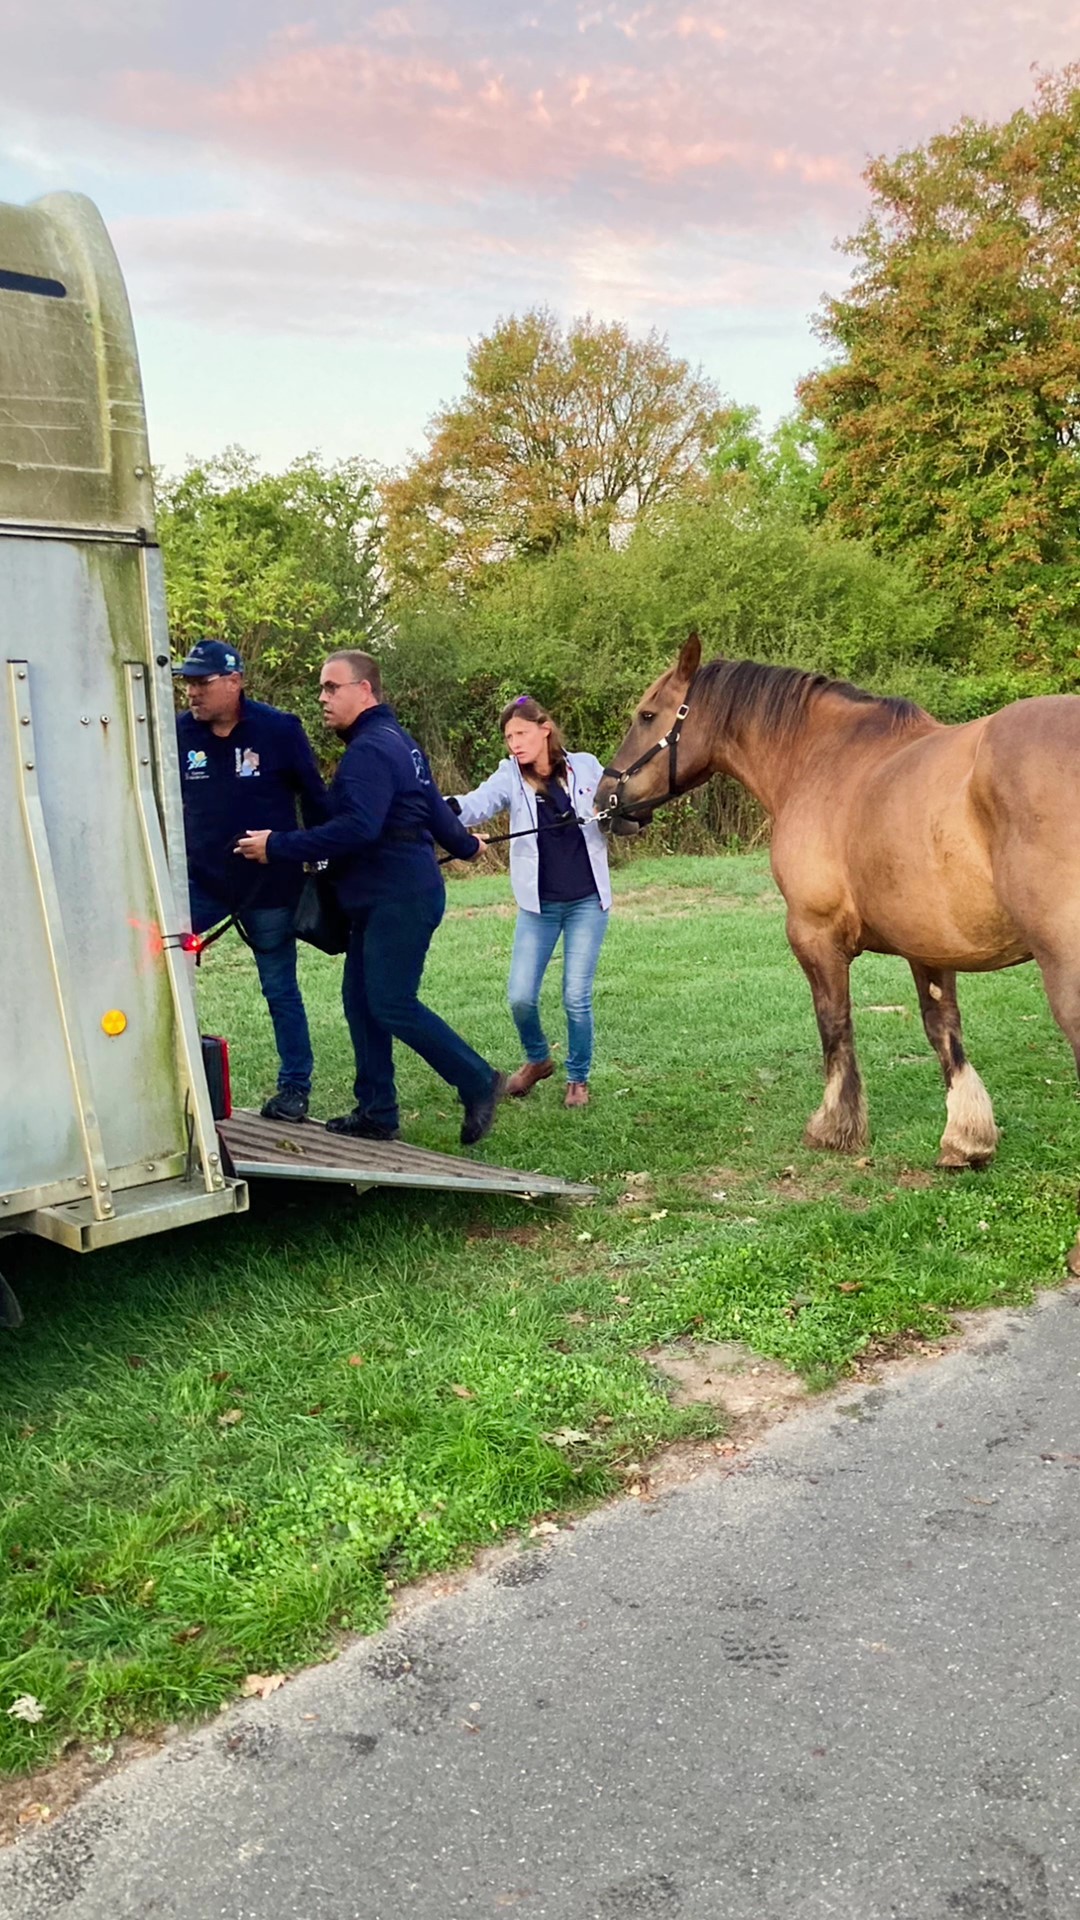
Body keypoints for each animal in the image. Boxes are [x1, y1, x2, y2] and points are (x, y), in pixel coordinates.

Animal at [595, 637, 1080, 1244]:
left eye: (647, 715)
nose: (604, 799)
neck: (823, 760)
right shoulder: (930, 946)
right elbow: (943, 1032)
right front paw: (965, 1141)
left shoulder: (814, 935)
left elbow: (834, 1025)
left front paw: (835, 1127)